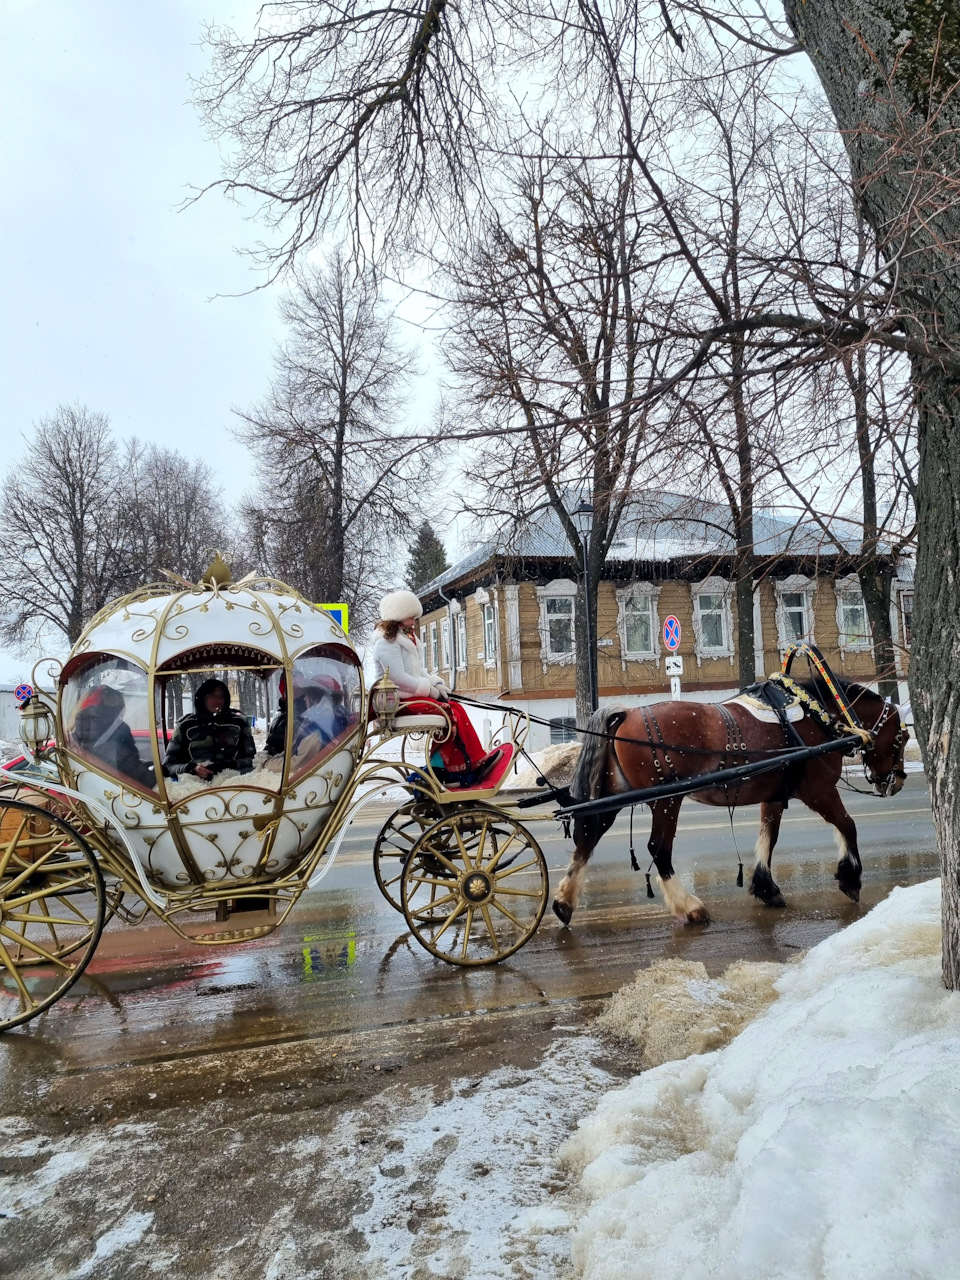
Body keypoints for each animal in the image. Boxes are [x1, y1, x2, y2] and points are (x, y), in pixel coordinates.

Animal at [555, 680, 911, 931]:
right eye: (903, 737)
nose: (896, 781)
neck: (817, 716)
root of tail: (627, 713)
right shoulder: (819, 790)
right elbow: (847, 824)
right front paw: (850, 878)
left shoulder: (775, 795)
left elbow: (769, 837)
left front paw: (767, 888)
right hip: (667, 799)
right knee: (658, 848)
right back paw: (690, 907)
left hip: (615, 795)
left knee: (587, 838)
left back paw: (563, 902)